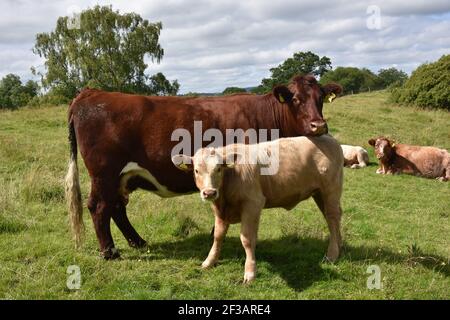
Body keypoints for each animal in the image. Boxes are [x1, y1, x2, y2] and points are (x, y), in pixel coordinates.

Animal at [65, 74, 342, 258]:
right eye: (295, 99)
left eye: (320, 98)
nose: (318, 125)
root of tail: (91, 93)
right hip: (104, 173)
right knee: (99, 207)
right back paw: (110, 252)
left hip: (121, 177)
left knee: (116, 208)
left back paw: (138, 242)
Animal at [172, 134, 344, 282]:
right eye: (196, 170)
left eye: (219, 169)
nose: (209, 192)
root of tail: (329, 138)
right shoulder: (221, 210)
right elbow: (218, 236)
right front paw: (209, 261)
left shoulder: (253, 204)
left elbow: (247, 239)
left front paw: (250, 272)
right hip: (319, 194)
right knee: (333, 219)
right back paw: (339, 245)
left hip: (330, 190)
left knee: (332, 218)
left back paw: (332, 254)